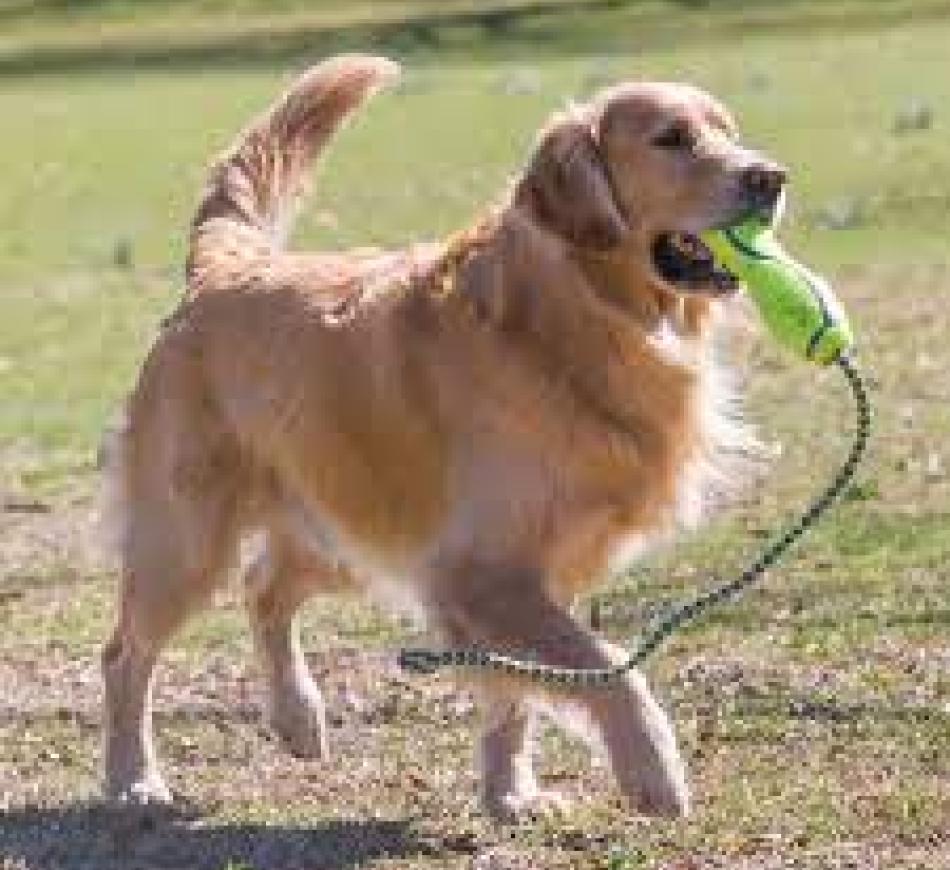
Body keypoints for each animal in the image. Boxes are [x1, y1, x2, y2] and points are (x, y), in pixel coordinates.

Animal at [101, 54, 785, 819]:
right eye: (672, 138)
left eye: (728, 131)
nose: (771, 179)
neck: (572, 321)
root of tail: (225, 267)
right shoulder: (477, 569)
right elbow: (604, 665)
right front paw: (652, 767)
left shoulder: (530, 572)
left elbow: (516, 691)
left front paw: (510, 792)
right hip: (188, 541)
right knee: (126, 656)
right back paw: (133, 778)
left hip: (353, 528)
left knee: (264, 589)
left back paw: (297, 716)